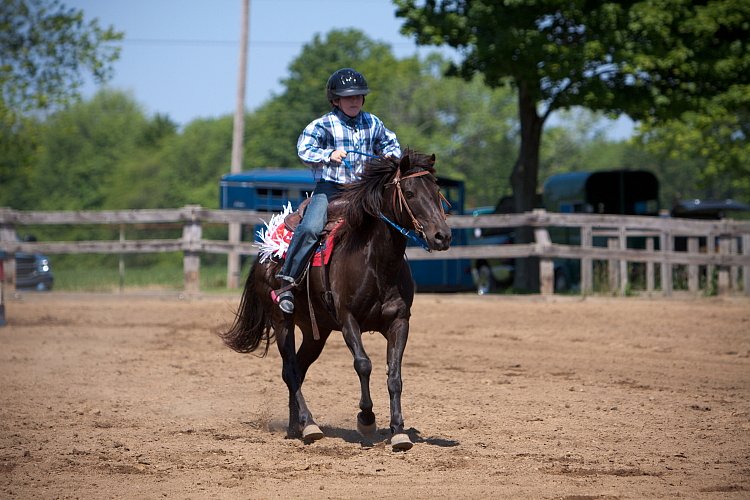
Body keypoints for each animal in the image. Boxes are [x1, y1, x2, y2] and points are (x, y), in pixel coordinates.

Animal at [217, 150, 452, 452]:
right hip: (282, 322)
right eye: (409, 193)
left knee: (299, 368)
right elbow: (363, 364)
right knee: (290, 370)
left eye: (437, 192)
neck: (376, 263)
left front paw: (399, 431)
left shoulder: (399, 322)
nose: (442, 236)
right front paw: (366, 419)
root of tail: (264, 255)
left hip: (315, 332)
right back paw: (309, 425)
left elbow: (395, 376)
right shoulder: (348, 319)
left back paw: (296, 426)